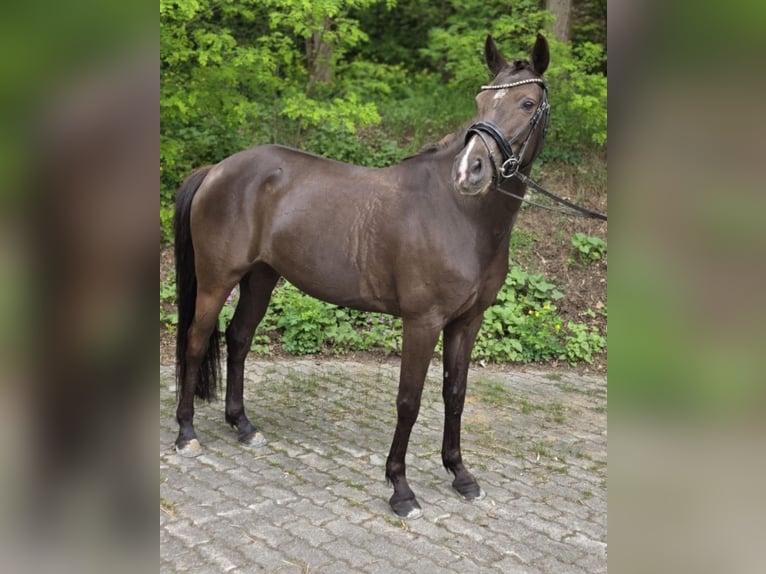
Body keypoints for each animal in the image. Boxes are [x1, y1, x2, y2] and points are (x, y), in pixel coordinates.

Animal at [173, 33, 551, 519]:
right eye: (480, 101)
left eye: (527, 102)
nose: (471, 171)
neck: (461, 214)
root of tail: (216, 170)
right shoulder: (422, 323)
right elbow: (409, 401)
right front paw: (401, 489)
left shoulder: (468, 322)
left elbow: (455, 394)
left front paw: (461, 475)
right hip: (216, 281)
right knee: (197, 341)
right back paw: (186, 434)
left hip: (261, 277)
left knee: (238, 339)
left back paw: (243, 424)